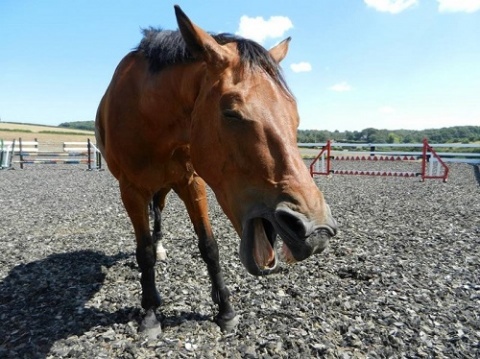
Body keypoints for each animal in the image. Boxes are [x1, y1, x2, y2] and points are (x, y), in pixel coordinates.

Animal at [94, 4, 338, 334]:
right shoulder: (130, 190)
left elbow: (209, 246)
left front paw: (225, 310)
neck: (149, 113)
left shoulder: (191, 182)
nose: (317, 231)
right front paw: (150, 312)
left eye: (295, 115)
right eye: (231, 113)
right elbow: (143, 252)